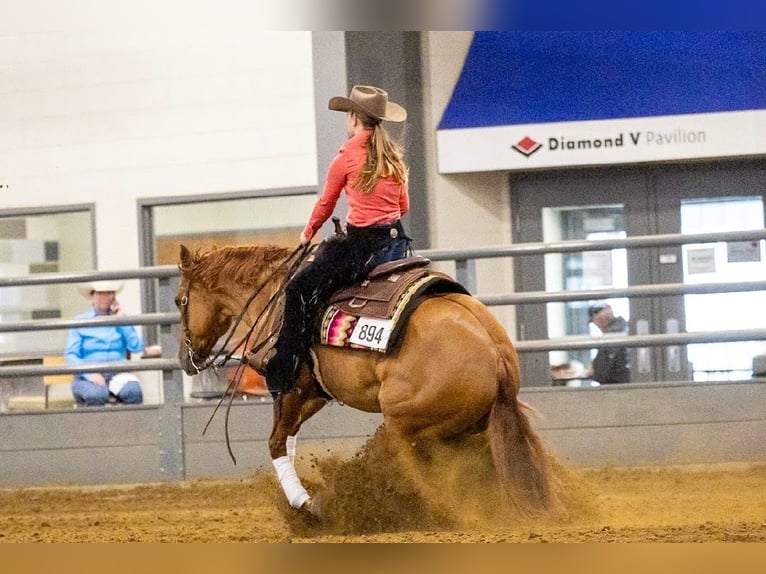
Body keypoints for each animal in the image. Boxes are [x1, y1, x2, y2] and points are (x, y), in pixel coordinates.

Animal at [175, 243, 557, 518]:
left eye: (180, 301)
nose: (184, 359)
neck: (275, 297)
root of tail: (494, 354)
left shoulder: (292, 387)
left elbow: (276, 442)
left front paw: (303, 503)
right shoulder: (313, 392)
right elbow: (287, 437)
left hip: (403, 421)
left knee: (395, 461)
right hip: (460, 427)